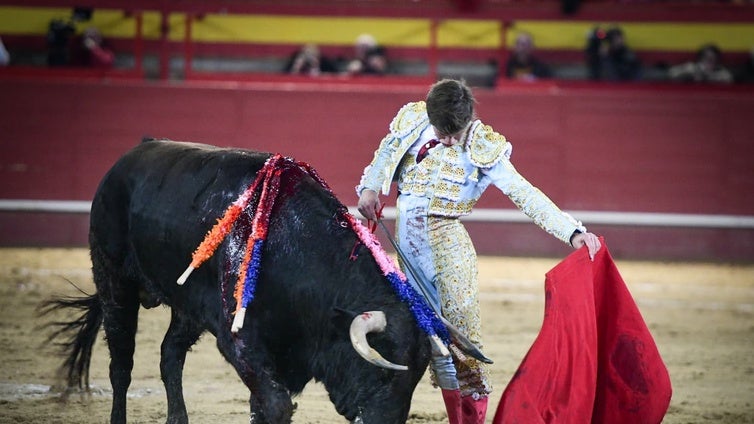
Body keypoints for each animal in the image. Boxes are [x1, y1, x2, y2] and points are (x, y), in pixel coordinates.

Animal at [42, 140, 428, 424]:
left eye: (415, 380)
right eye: (383, 374)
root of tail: (128, 158)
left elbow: (262, 406)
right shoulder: (240, 339)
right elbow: (276, 406)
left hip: (188, 309)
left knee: (170, 355)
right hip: (114, 281)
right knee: (121, 365)